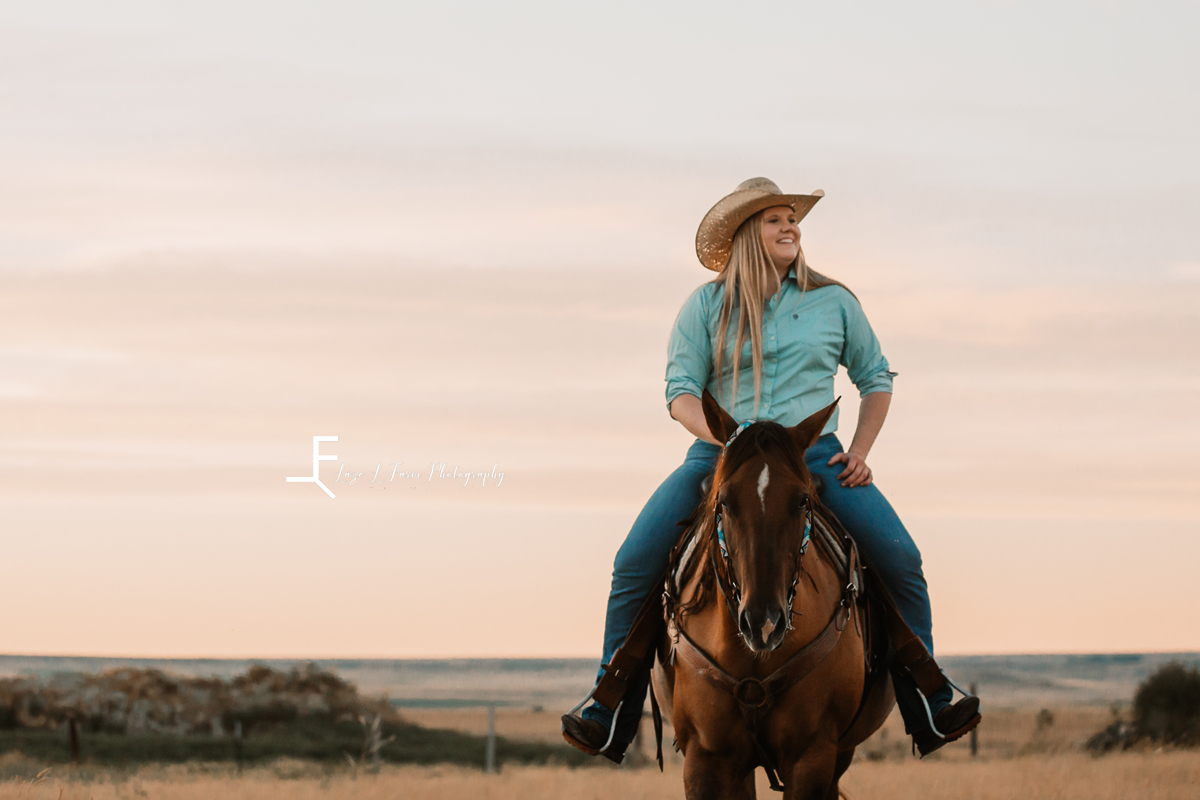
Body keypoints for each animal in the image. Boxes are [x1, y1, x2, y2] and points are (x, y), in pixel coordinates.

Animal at [652, 393, 897, 800]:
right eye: (724, 501)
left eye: (802, 500)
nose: (763, 624)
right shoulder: (705, 759)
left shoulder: (812, 757)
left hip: (840, 754)